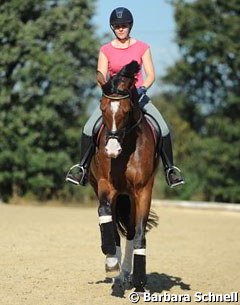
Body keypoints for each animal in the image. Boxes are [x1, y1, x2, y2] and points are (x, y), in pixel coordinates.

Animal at [88, 60, 159, 294]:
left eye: (127, 110)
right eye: (102, 107)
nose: (111, 150)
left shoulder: (143, 191)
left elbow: (139, 233)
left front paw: (139, 280)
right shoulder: (106, 185)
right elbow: (104, 214)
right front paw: (111, 261)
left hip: (130, 197)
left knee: (129, 231)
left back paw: (127, 275)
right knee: (114, 229)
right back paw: (117, 273)